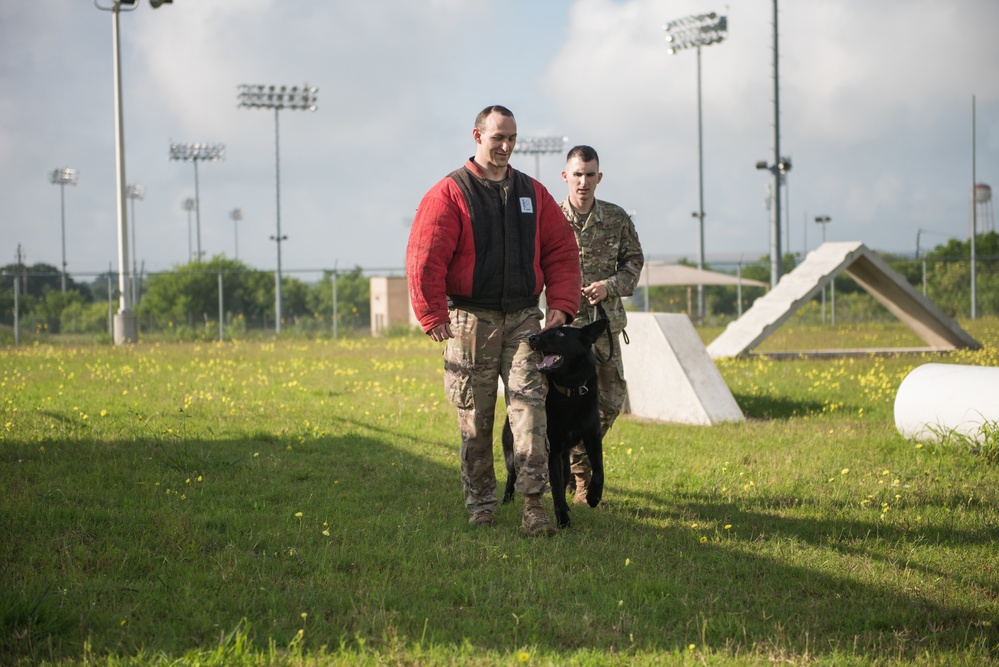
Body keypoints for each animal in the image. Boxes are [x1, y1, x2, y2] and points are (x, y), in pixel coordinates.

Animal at [500, 320, 608, 528]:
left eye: (559, 334)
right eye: (545, 332)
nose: (532, 338)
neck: (570, 391)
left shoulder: (593, 437)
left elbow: (599, 470)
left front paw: (593, 497)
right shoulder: (553, 451)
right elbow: (557, 490)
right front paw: (563, 522)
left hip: (565, 461)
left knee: (565, 477)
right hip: (514, 453)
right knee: (512, 475)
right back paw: (506, 500)